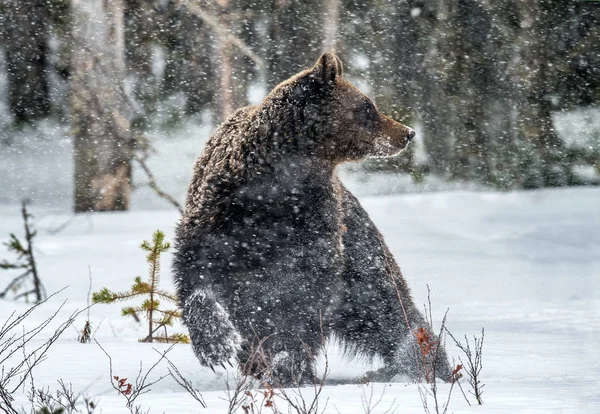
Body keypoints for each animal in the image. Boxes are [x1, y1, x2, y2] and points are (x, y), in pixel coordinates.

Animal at [173, 51, 450, 384]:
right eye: (367, 106)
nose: (407, 132)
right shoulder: (221, 216)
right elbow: (196, 277)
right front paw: (219, 346)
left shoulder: (312, 224)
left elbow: (303, 299)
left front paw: (285, 362)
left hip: (362, 260)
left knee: (388, 310)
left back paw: (417, 362)